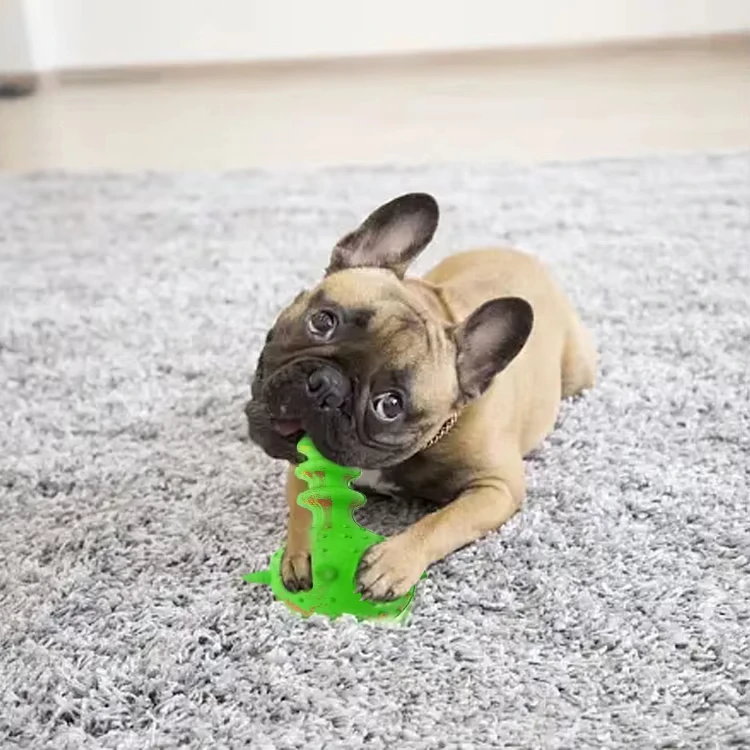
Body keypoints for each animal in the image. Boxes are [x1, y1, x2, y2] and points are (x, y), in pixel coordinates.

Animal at [245, 193, 596, 601]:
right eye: (323, 321)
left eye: (390, 405)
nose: (327, 385)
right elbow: (304, 504)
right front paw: (307, 549)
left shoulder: (497, 488)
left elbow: (444, 521)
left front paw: (392, 562)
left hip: (579, 372)